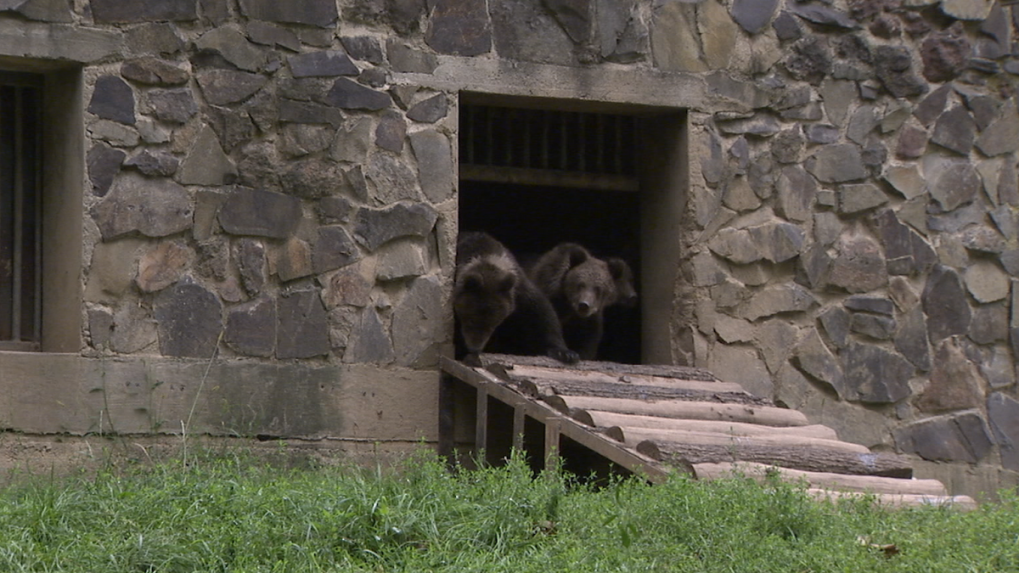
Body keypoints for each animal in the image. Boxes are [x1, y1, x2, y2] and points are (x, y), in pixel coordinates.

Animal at [454, 229, 582, 362]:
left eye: (493, 325)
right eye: (470, 319)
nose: (474, 348)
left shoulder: (519, 290)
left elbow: (542, 313)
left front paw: (566, 353)